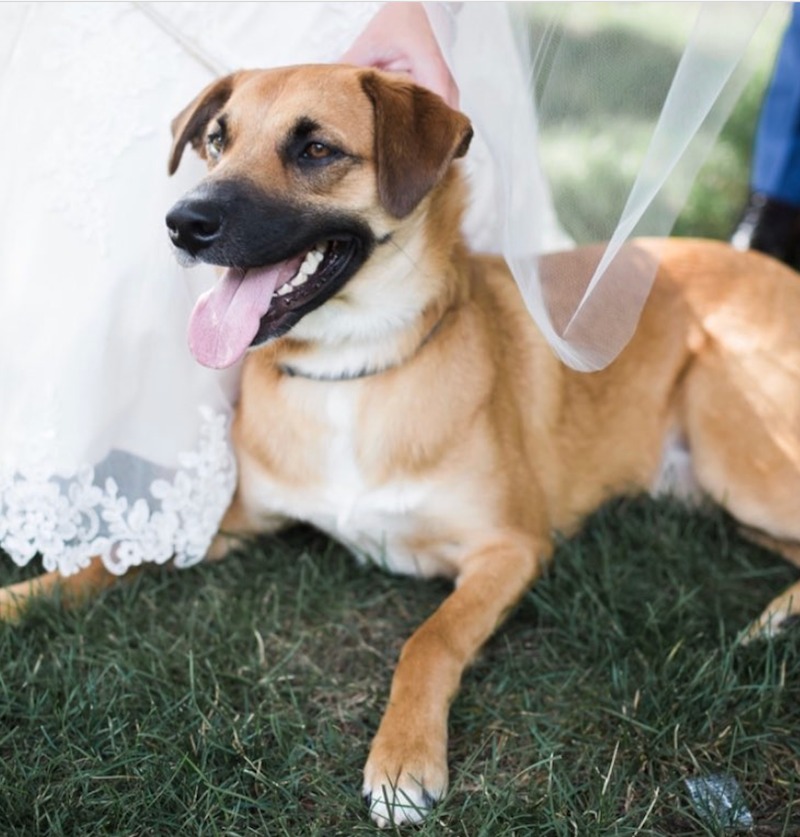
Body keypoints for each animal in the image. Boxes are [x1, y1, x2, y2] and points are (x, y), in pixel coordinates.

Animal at [4, 63, 800, 824]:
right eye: (217, 142)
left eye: (315, 149)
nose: (182, 223)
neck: (348, 370)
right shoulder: (228, 521)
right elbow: (110, 554)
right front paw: (22, 598)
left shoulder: (511, 547)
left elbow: (428, 640)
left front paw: (404, 759)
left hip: (727, 428)